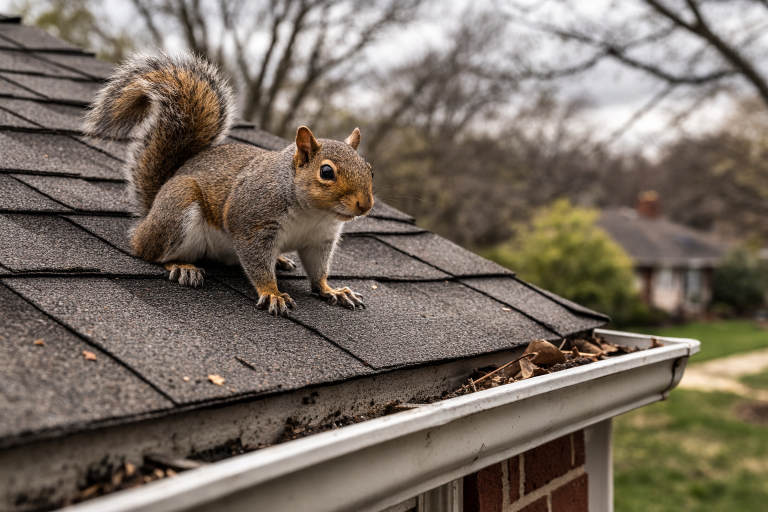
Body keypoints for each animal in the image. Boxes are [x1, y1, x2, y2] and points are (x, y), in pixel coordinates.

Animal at [84, 50, 373, 316]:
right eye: (326, 172)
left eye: (369, 170)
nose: (366, 205)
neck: (312, 213)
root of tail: (151, 210)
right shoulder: (253, 224)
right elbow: (257, 263)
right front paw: (272, 292)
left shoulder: (321, 239)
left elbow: (318, 270)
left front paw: (332, 290)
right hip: (178, 207)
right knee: (150, 252)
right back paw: (181, 266)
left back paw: (280, 259)